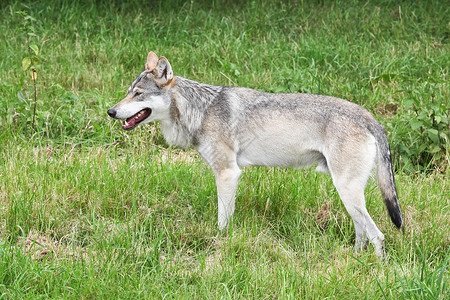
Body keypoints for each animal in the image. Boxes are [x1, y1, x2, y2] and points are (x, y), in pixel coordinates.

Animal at [107, 51, 402, 258]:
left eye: (138, 94)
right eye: (128, 92)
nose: (110, 111)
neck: (200, 110)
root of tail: (369, 117)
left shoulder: (228, 174)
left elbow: (222, 222)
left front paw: (220, 245)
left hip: (347, 192)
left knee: (378, 235)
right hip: (349, 197)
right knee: (362, 233)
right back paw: (353, 260)